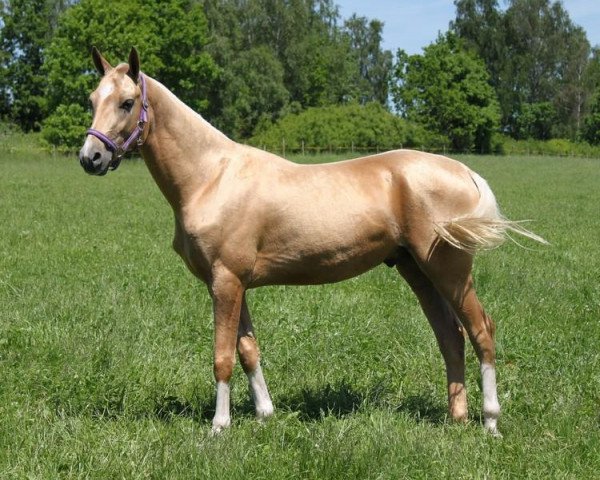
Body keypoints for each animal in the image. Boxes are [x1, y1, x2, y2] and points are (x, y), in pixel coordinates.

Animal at [77, 47, 548, 436]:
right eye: (93, 99)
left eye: (127, 102)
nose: (90, 158)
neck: (211, 176)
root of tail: (462, 170)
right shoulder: (234, 284)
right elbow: (248, 350)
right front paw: (264, 416)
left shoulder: (225, 282)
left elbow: (223, 356)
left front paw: (219, 427)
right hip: (417, 270)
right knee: (450, 336)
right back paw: (457, 418)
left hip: (450, 270)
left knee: (481, 331)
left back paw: (490, 423)